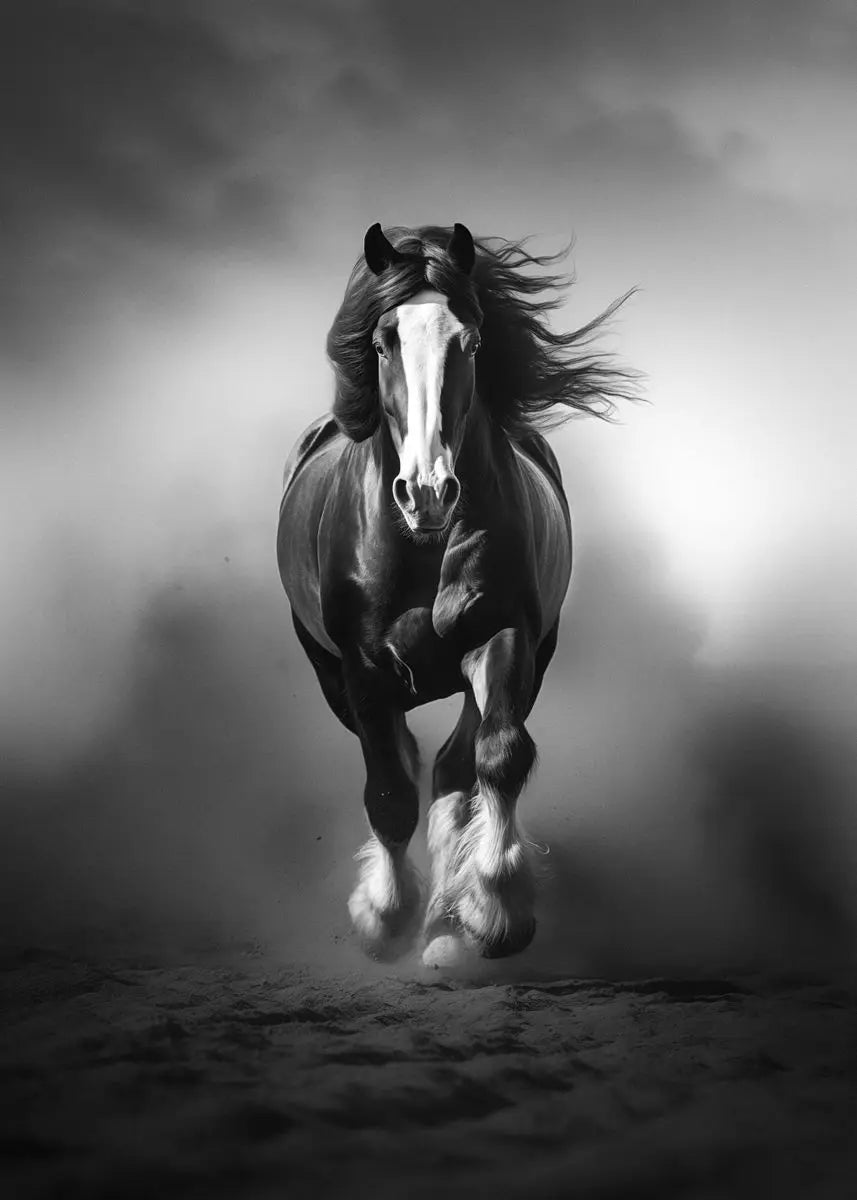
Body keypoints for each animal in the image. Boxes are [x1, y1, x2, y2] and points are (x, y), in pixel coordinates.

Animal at [277, 223, 634, 966]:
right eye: (383, 341)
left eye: (467, 342)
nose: (428, 491)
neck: (419, 547)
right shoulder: (361, 670)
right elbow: (388, 790)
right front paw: (383, 917)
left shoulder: (504, 638)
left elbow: (496, 759)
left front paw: (495, 912)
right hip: (329, 676)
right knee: (413, 767)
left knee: (454, 768)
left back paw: (446, 922)